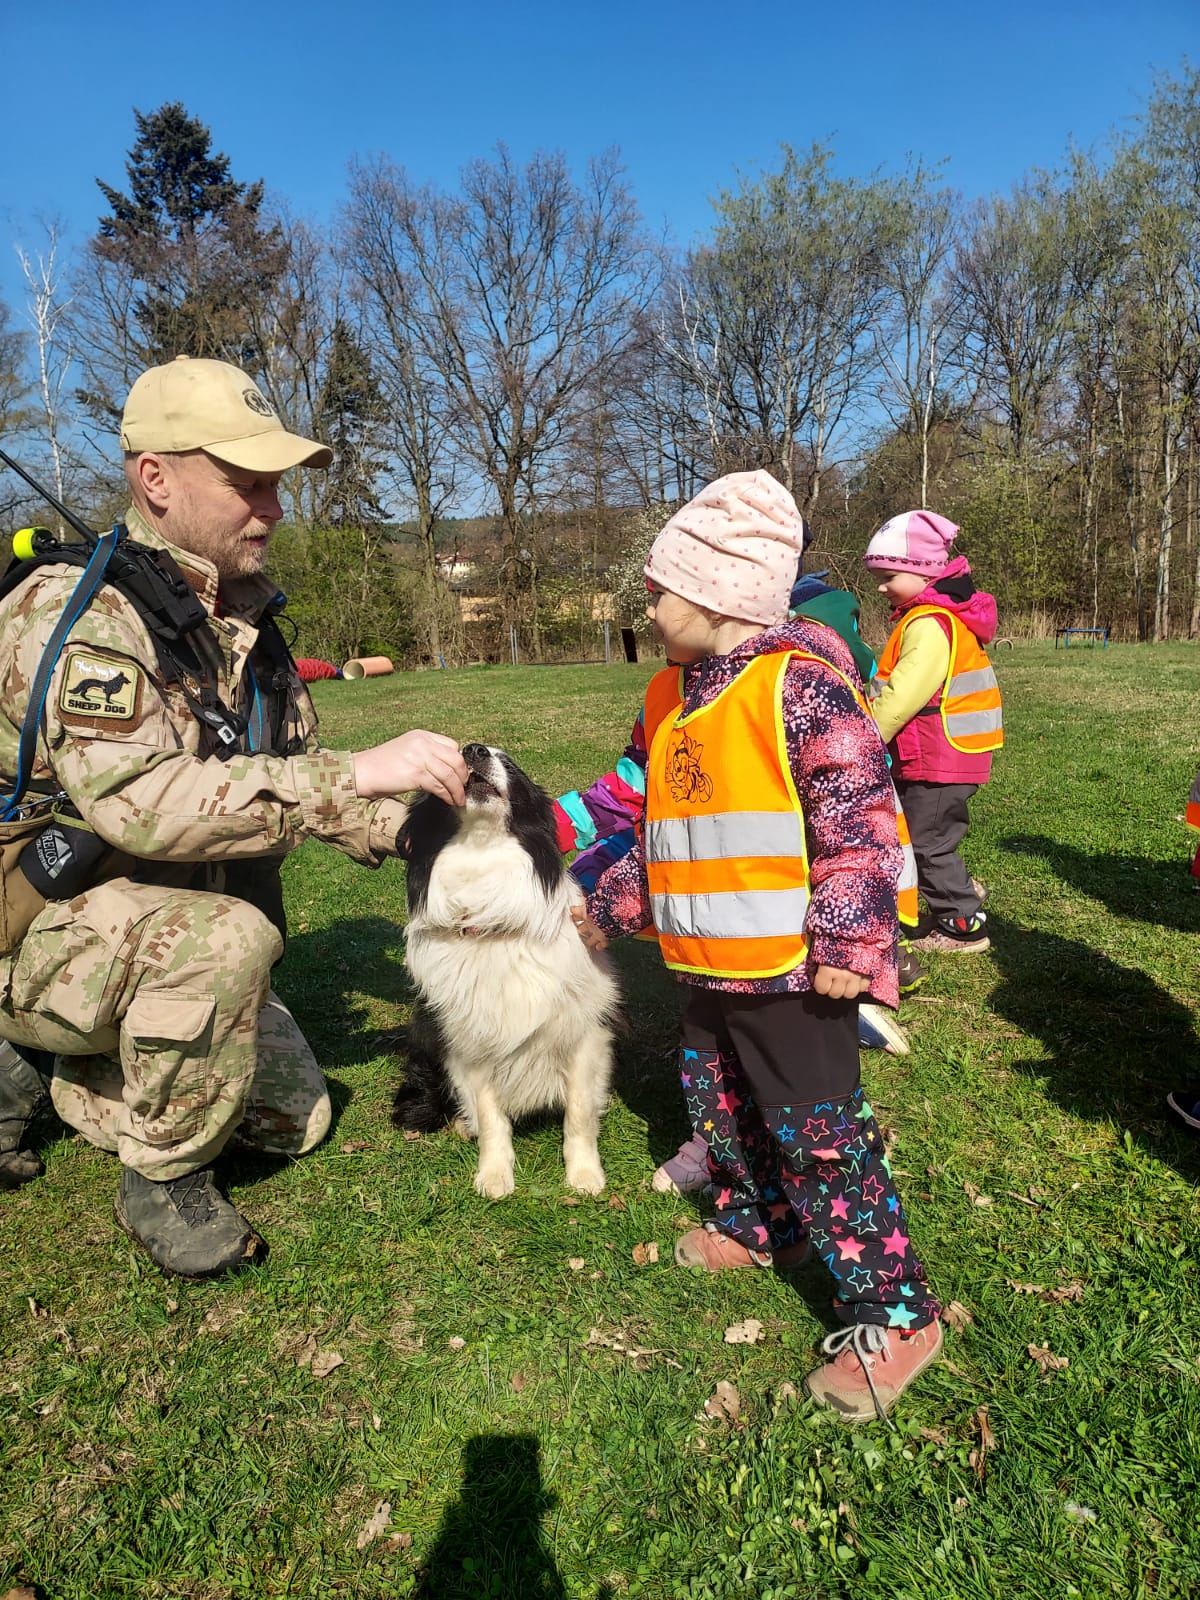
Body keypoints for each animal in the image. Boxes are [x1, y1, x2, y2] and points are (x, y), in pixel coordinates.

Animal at [395, 742, 620, 1196]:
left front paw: (584, 1174)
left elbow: (579, 1113)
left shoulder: (585, 1034)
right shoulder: (471, 1039)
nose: (473, 750)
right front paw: (495, 1175)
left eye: (511, 765)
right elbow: (490, 1116)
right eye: (453, 755)